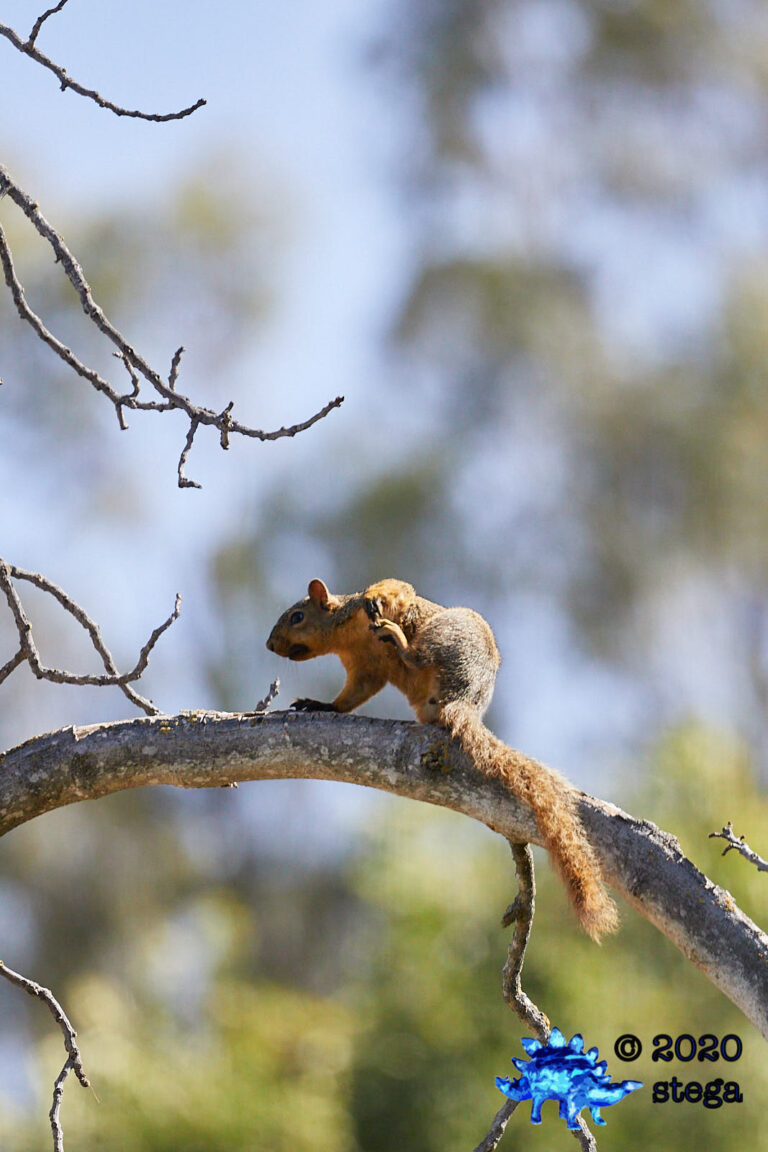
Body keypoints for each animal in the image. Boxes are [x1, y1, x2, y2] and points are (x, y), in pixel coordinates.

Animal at [267, 577, 618, 941]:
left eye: (297, 617)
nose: (269, 644)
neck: (347, 638)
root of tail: (464, 699)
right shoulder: (365, 669)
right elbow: (349, 699)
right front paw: (321, 704)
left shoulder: (374, 628)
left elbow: (396, 589)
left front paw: (376, 597)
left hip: (448, 634)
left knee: (418, 657)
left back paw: (398, 637)